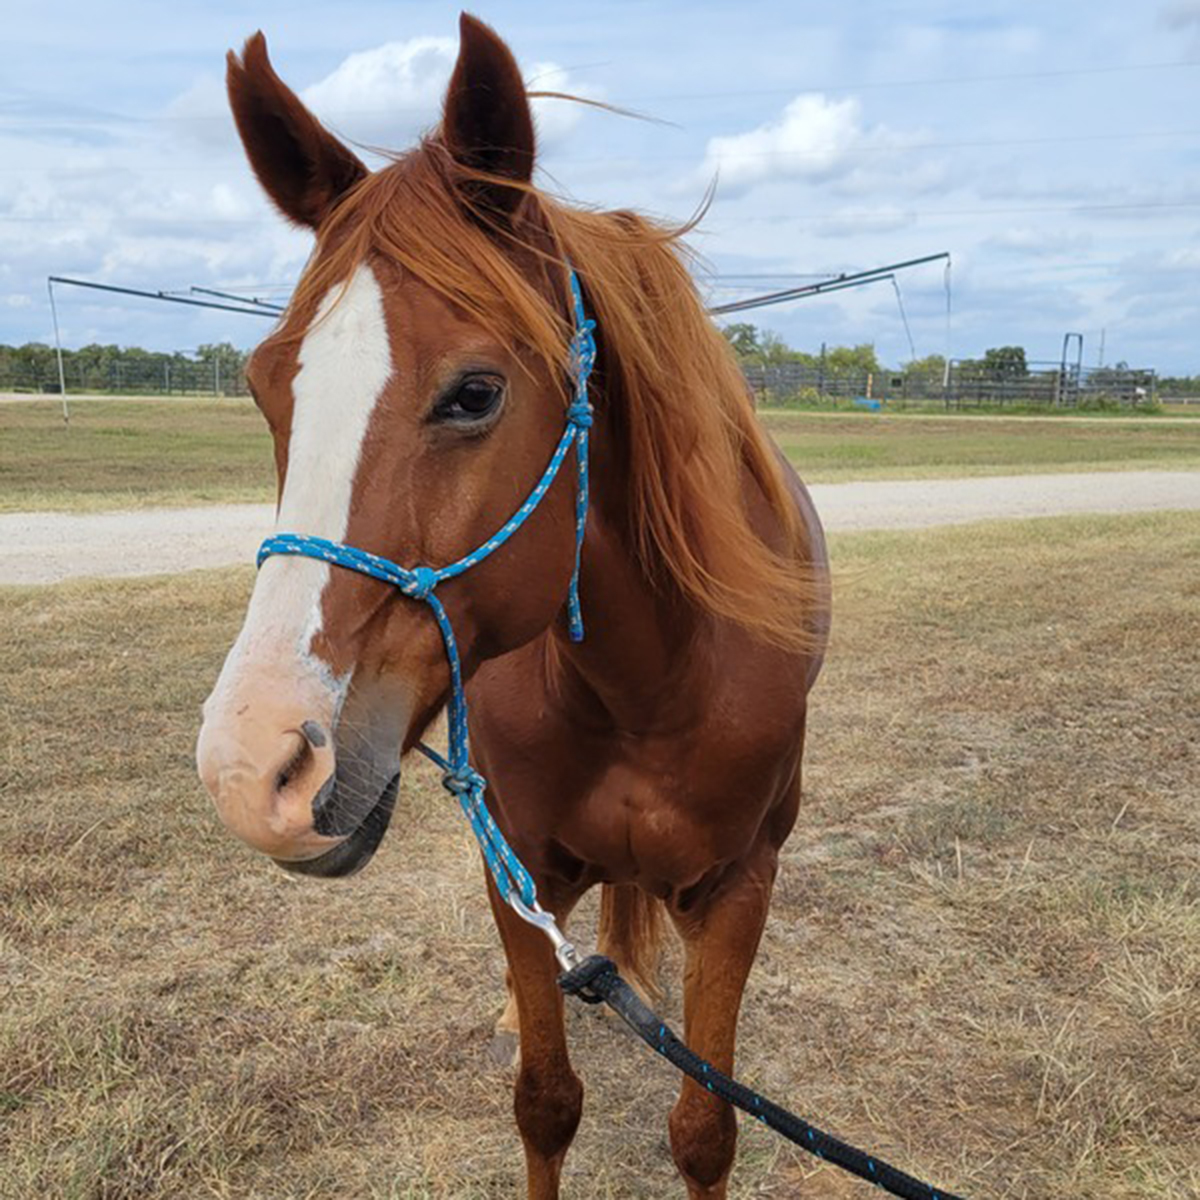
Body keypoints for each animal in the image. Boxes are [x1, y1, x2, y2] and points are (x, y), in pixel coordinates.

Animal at [196, 14, 830, 1198]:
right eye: (265, 385)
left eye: (476, 392)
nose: (252, 769)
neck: (648, 679)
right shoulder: (519, 869)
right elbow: (546, 1101)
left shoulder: (738, 888)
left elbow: (704, 1127)